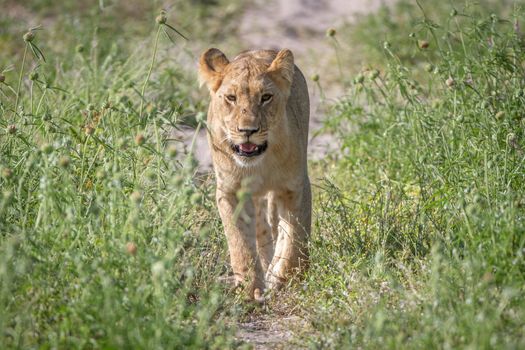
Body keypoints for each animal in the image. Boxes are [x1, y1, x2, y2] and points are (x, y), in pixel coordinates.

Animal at [199, 47, 310, 300]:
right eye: (231, 98)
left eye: (266, 97)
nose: (247, 130)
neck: (259, 163)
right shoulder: (230, 191)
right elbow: (240, 241)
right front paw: (251, 288)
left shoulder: (296, 187)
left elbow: (294, 239)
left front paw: (284, 279)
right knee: (261, 230)